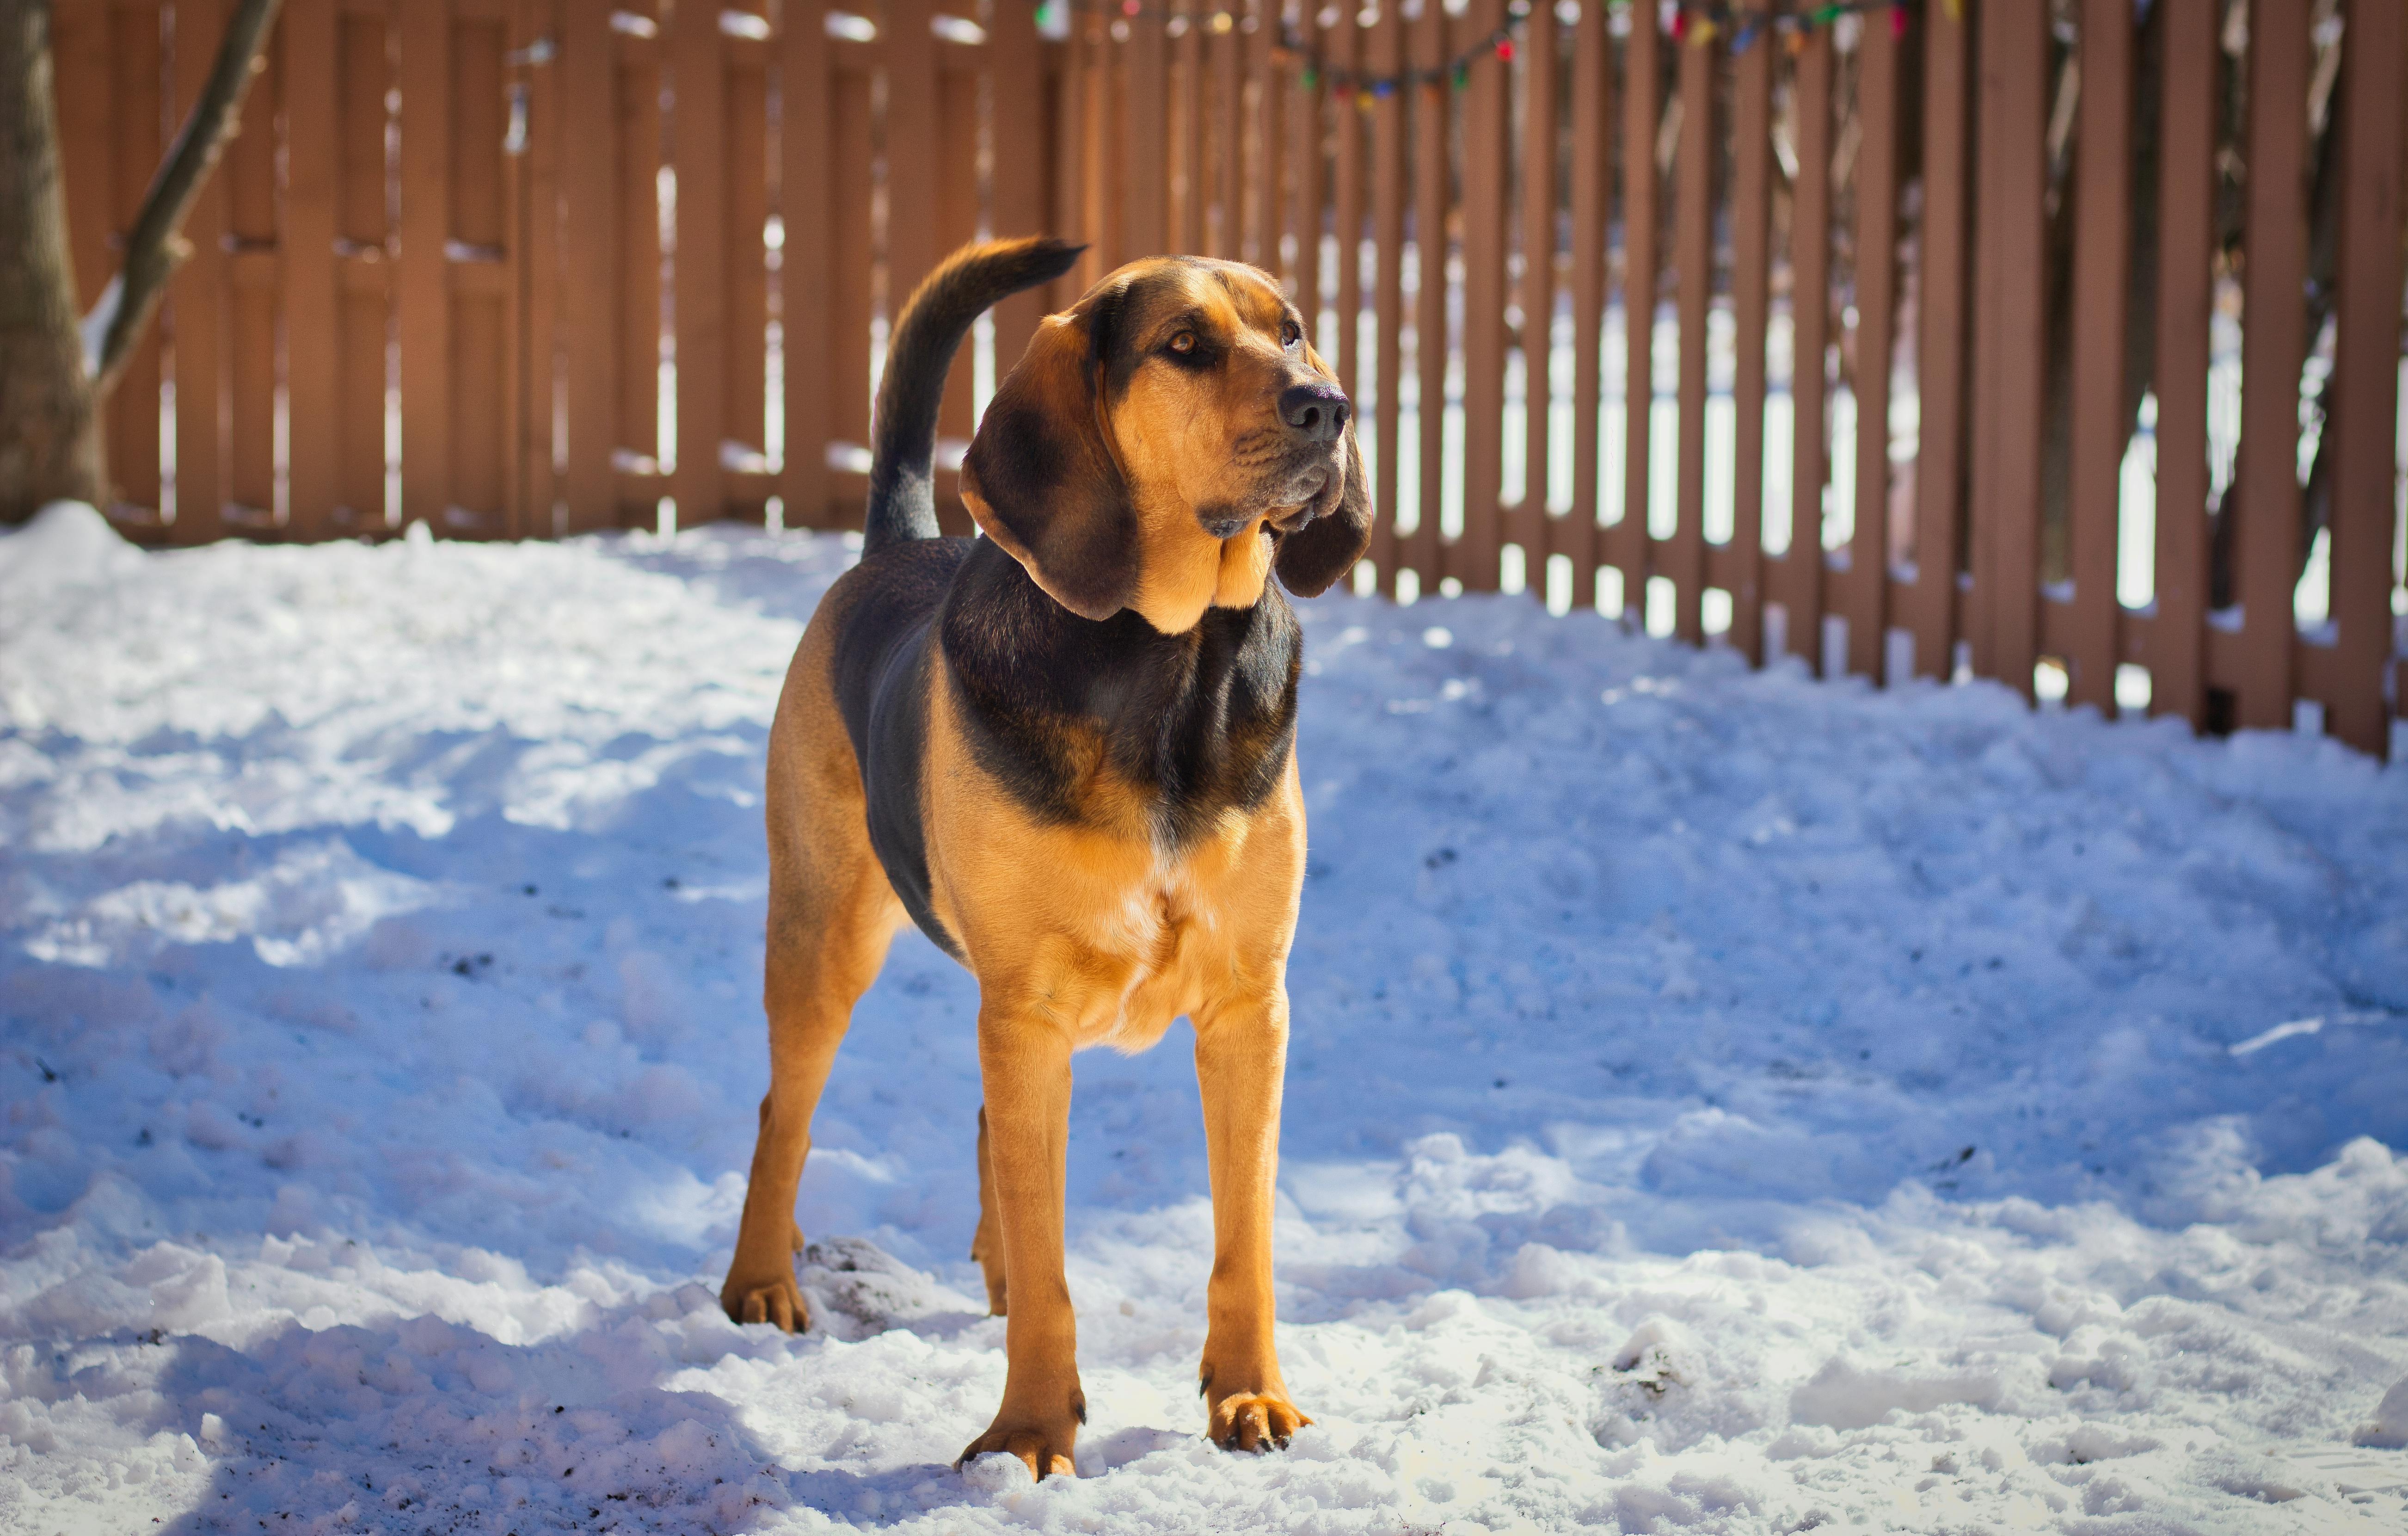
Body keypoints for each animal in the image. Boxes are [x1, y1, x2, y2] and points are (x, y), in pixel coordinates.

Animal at [713, 238, 1368, 1483]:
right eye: (1184, 346)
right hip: (825, 938)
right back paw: (762, 1281)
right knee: (783, 1109)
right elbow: (1053, 1259)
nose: (1330, 407)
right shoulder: (1027, 1010)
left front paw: (1250, 1395)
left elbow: (1243, 1237)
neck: (1170, 665)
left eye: (1295, 330)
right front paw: (1027, 1433)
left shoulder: (1248, 1010)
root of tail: (896, 544)